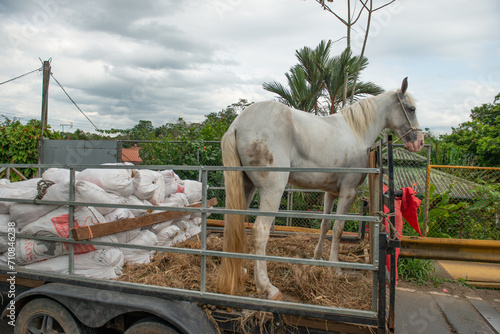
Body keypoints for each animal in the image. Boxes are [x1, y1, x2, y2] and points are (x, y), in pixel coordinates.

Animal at [217, 78, 424, 300]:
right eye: (411, 109)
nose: (420, 142)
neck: (356, 132)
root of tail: (237, 125)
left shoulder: (330, 193)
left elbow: (325, 225)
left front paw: (317, 258)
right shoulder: (348, 192)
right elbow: (338, 229)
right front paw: (336, 269)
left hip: (246, 188)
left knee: (235, 224)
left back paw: (241, 271)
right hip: (272, 191)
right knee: (260, 231)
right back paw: (266, 287)